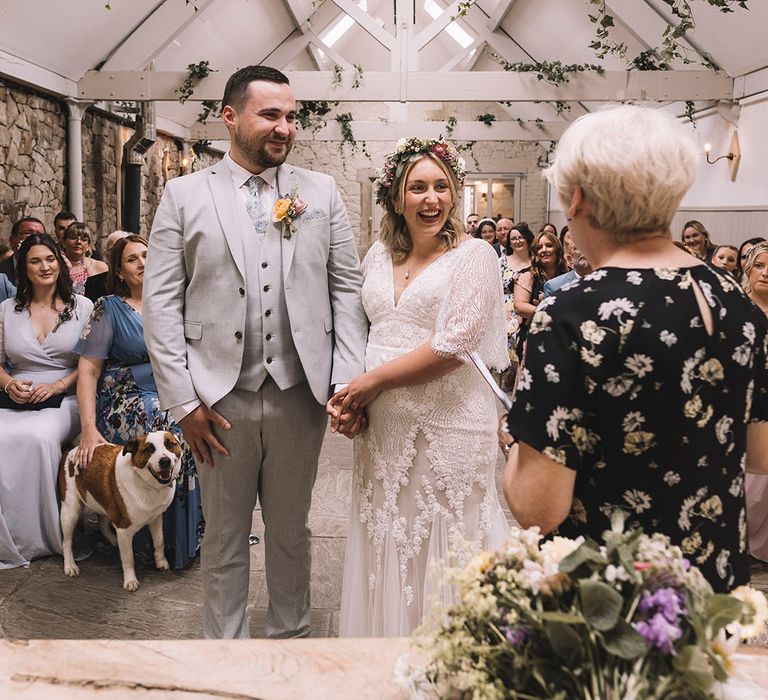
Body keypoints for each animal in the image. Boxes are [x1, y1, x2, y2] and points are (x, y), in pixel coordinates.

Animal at [59, 432, 182, 592]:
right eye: (149, 449)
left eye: (170, 444)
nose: (165, 461)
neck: (147, 484)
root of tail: (70, 452)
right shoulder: (124, 528)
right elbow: (128, 558)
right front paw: (130, 580)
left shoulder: (156, 517)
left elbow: (159, 541)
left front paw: (161, 562)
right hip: (70, 512)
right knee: (66, 542)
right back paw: (70, 565)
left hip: (107, 504)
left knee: (103, 525)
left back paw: (114, 540)